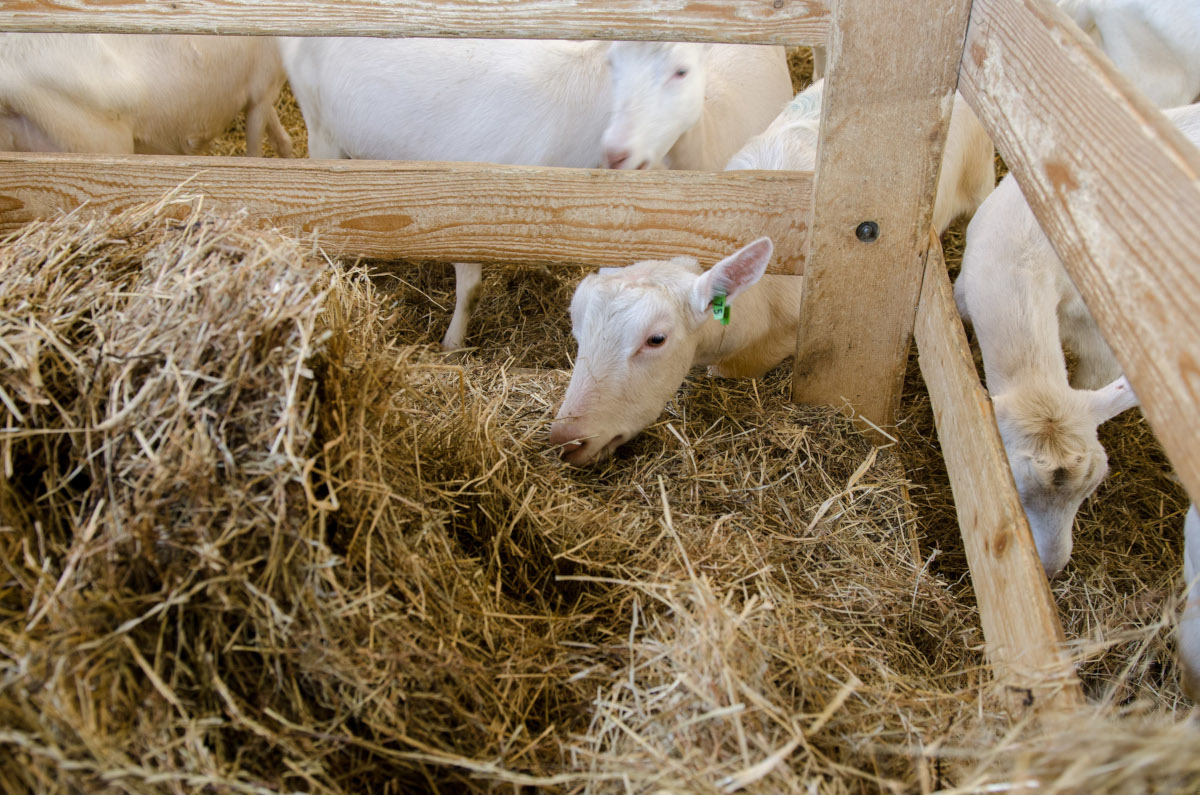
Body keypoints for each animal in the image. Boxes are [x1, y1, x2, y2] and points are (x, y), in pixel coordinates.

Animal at [278, 37, 793, 351]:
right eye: (613, 67)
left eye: (681, 71)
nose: (618, 152)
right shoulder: (468, 195)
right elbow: (471, 287)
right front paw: (452, 345)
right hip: (318, 127)